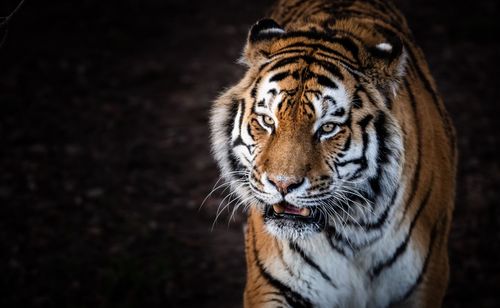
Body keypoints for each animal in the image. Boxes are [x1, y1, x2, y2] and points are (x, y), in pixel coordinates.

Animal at [209, 0, 456, 308]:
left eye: (327, 128)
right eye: (267, 121)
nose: (282, 184)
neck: (357, 230)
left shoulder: (426, 281)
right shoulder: (272, 285)